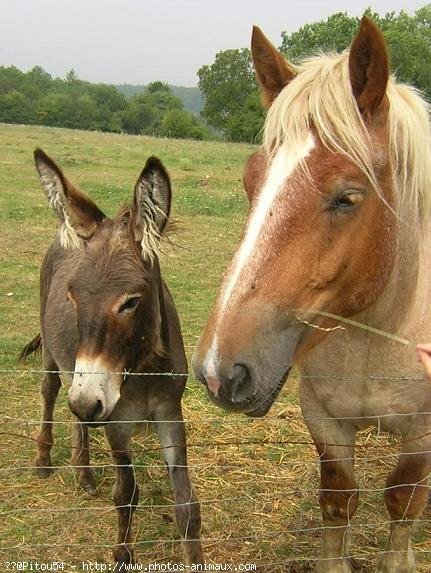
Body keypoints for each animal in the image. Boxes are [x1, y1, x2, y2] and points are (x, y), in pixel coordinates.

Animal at [22, 150, 205, 564]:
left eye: (131, 302)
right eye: (72, 296)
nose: (88, 402)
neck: (144, 369)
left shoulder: (169, 410)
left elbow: (187, 505)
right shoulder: (116, 420)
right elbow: (126, 494)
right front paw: (123, 553)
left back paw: (85, 474)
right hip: (57, 360)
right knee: (50, 392)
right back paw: (44, 460)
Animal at [194, 15, 431, 568]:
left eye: (348, 197)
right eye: (249, 181)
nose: (219, 371)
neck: (379, 335)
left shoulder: (424, 439)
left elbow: (403, 502)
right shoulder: (324, 421)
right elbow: (338, 500)